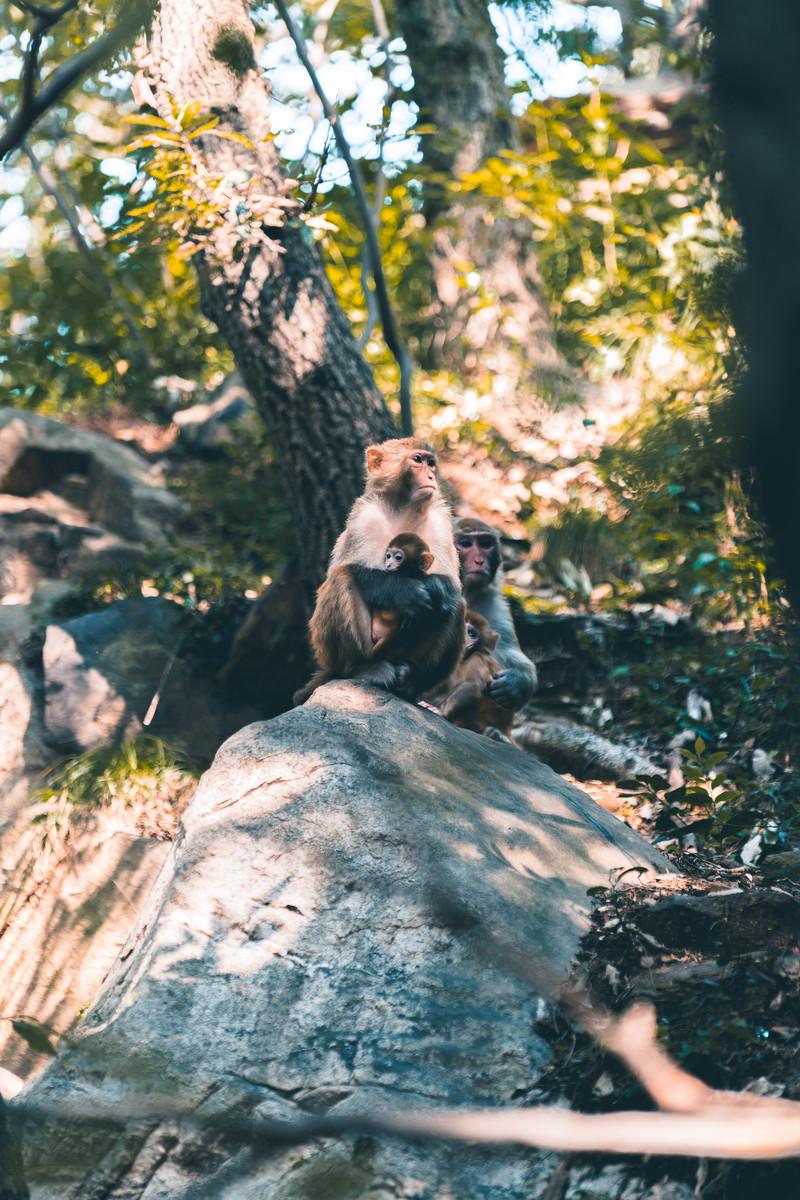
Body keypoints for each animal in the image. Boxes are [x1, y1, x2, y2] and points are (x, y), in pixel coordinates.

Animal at [429, 614, 515, 744]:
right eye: (461, 625)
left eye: (472, 633)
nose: (463, 636)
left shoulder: (478, 658)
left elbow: (473, 685)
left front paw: (441, 711)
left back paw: (495, 735)